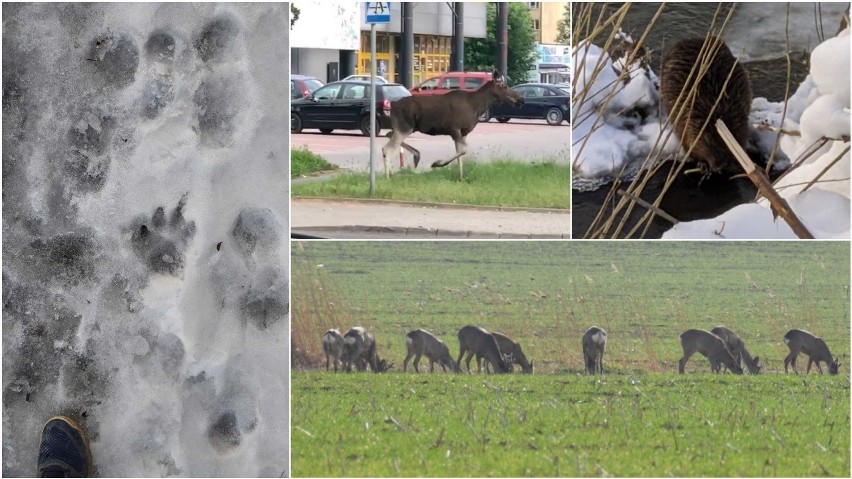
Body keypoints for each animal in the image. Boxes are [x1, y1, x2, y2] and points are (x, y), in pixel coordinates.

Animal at [382, 71, 524, 182]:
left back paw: (411, 159)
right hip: (405, 127)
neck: (477, 106)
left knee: (388, 135)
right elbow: (463, 151)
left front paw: (461, 177)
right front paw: (437, 163)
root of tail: (392, 106)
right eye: (504, 86)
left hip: (402, 127)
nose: (521, 100)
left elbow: (461, 155)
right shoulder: (454, 129)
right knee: (387, 148)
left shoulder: (464, 132)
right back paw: (388, 176)